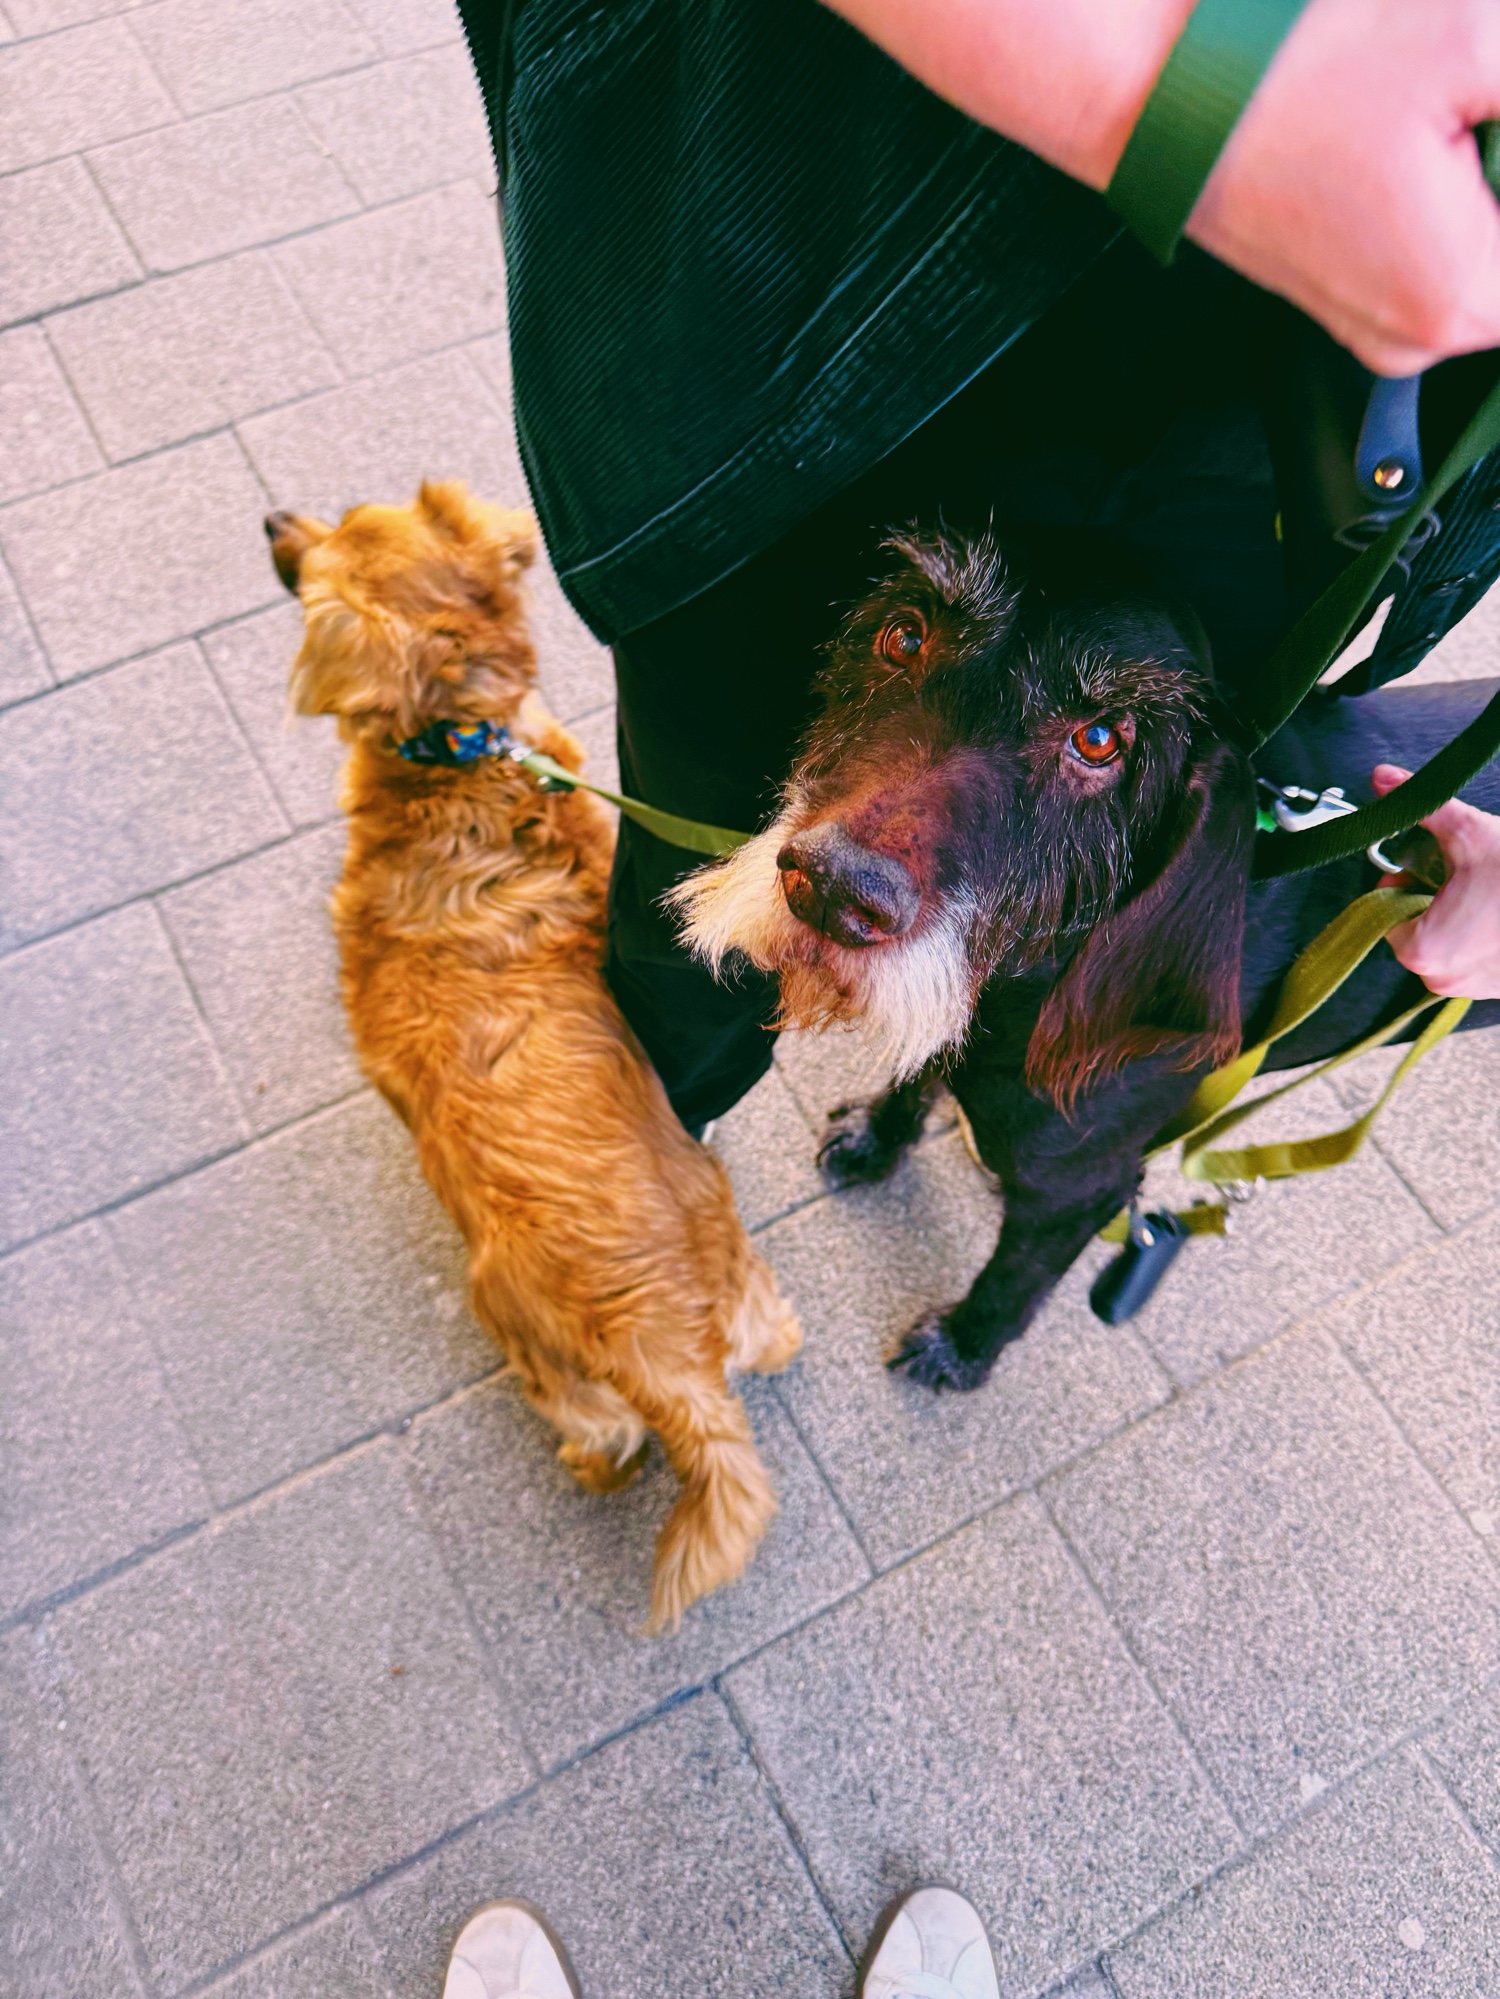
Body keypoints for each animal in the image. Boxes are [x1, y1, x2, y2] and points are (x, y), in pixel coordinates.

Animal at [268, 481, 801, 1627]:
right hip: (736, 1282)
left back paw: (591, 1464)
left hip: (524, 1336)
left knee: (601, 1437)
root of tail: (661, 1345)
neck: (462, 759)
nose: (269, 522)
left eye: (335, 532)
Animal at [674, 523, 1500, 1389]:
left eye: (1099, 740)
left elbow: (1016, 1276)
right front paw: (879, 1131)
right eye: (904, 635)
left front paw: (961, 1345)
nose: (832, 890)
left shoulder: (1079, 1190)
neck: (1028, 980)